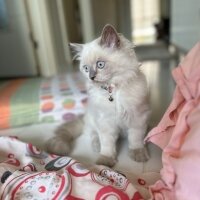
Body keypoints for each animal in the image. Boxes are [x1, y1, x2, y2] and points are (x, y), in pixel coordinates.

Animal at [46, 24, 150, 166]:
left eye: (100, 64)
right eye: (86, 68)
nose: (91, 77)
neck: (113, 90)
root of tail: (84, 117)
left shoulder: (137, 118)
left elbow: (135, 139)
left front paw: (138, 155)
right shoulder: (105, 122)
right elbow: (107, 145)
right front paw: (104, 162)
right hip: (93, 120)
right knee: (92, 134)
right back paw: (97, 146)